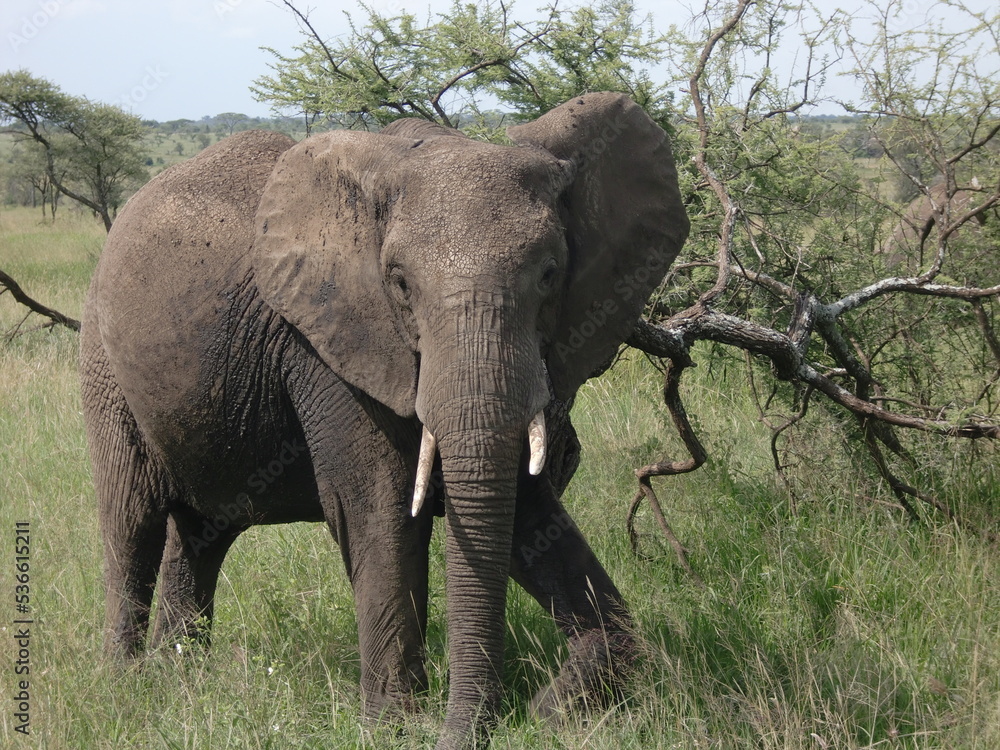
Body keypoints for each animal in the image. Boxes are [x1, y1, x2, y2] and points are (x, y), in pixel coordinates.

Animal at [80, 91, 688, 748]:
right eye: (399, 283)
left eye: (550, 273)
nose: (490, 726)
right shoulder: (326, 342)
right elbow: (380, 505)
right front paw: (396, 727)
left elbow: (523, 508)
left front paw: (559, 706)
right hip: (102, 360)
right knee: (131, 521)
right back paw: (126, 687)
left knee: (202, 531)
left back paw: (180, 681)